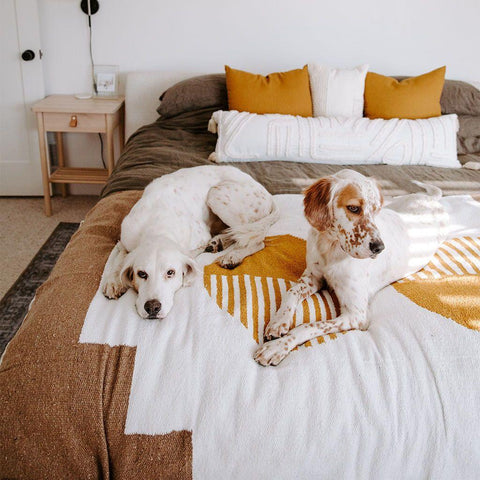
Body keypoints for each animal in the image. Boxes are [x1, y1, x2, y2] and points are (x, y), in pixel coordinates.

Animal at [102, 164, 280, 318]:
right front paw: (113, 281)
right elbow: (120, 258)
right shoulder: (124, 239)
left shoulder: (199, 239)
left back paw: (232, 256)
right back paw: (219, 242)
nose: (152, 307)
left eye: (171, 273)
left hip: (216, 195)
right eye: (141, 274)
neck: (156, 227)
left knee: (255, 239)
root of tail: (267, 193)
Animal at [256, 167, 448, 366]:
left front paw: (278, 346)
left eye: (374, 211)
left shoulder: (356, 314)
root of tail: (431, 200)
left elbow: (308, 326)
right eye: (354, 208)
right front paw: (279, 322)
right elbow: (291, 291)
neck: (331, 248)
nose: (379, 248)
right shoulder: (313, 277)